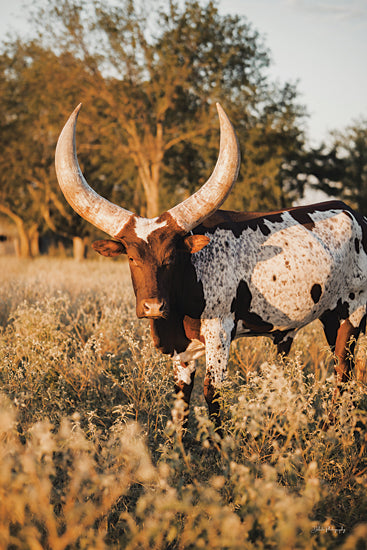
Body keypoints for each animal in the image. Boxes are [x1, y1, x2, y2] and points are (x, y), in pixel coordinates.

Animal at [55, 102, 367, 432]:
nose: (153, 306)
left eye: (172, 256)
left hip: (352, 313)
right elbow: (181, 400)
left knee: (344, 372)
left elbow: (212, 394)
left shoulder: (219, 334)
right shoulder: (182, 350)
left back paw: (333, 430)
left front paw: (219, 442)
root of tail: (357, 215)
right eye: (131, 257)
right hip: (330, 317)